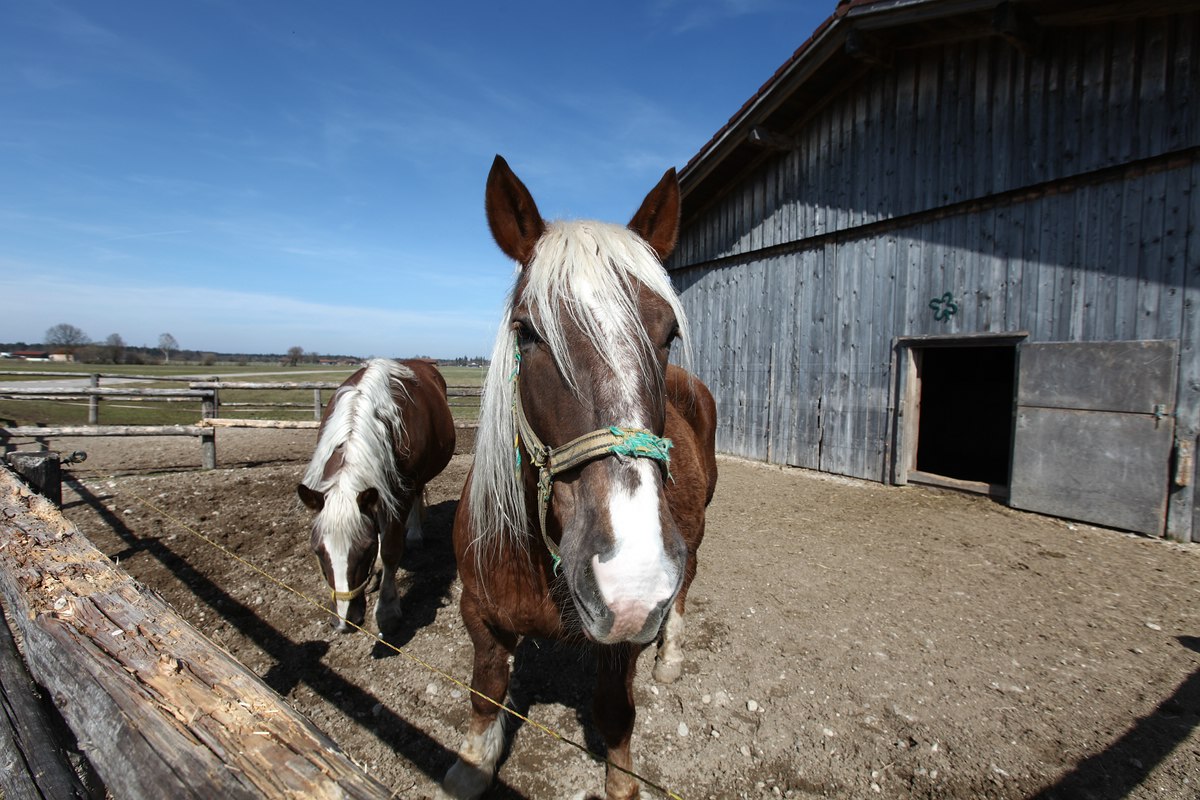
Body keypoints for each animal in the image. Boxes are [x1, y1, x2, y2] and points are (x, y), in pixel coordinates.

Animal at [296, 359, 453, 633]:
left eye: (365, 548)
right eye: (317, 550)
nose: (344, 621)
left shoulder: (400, 493)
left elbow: (390, 549)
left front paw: (388, 610)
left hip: (417, 479)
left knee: (417, 496)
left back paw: (414, 534)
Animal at [446, 158, 715, 800]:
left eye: (668, 335)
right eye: (527, 332)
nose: (632, 576)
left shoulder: (623, 642)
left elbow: (616, 714)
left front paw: (622, 784)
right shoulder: (477, 614)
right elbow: (486, 693)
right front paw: (472, 764)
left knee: (687, 582)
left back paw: (672, 656)